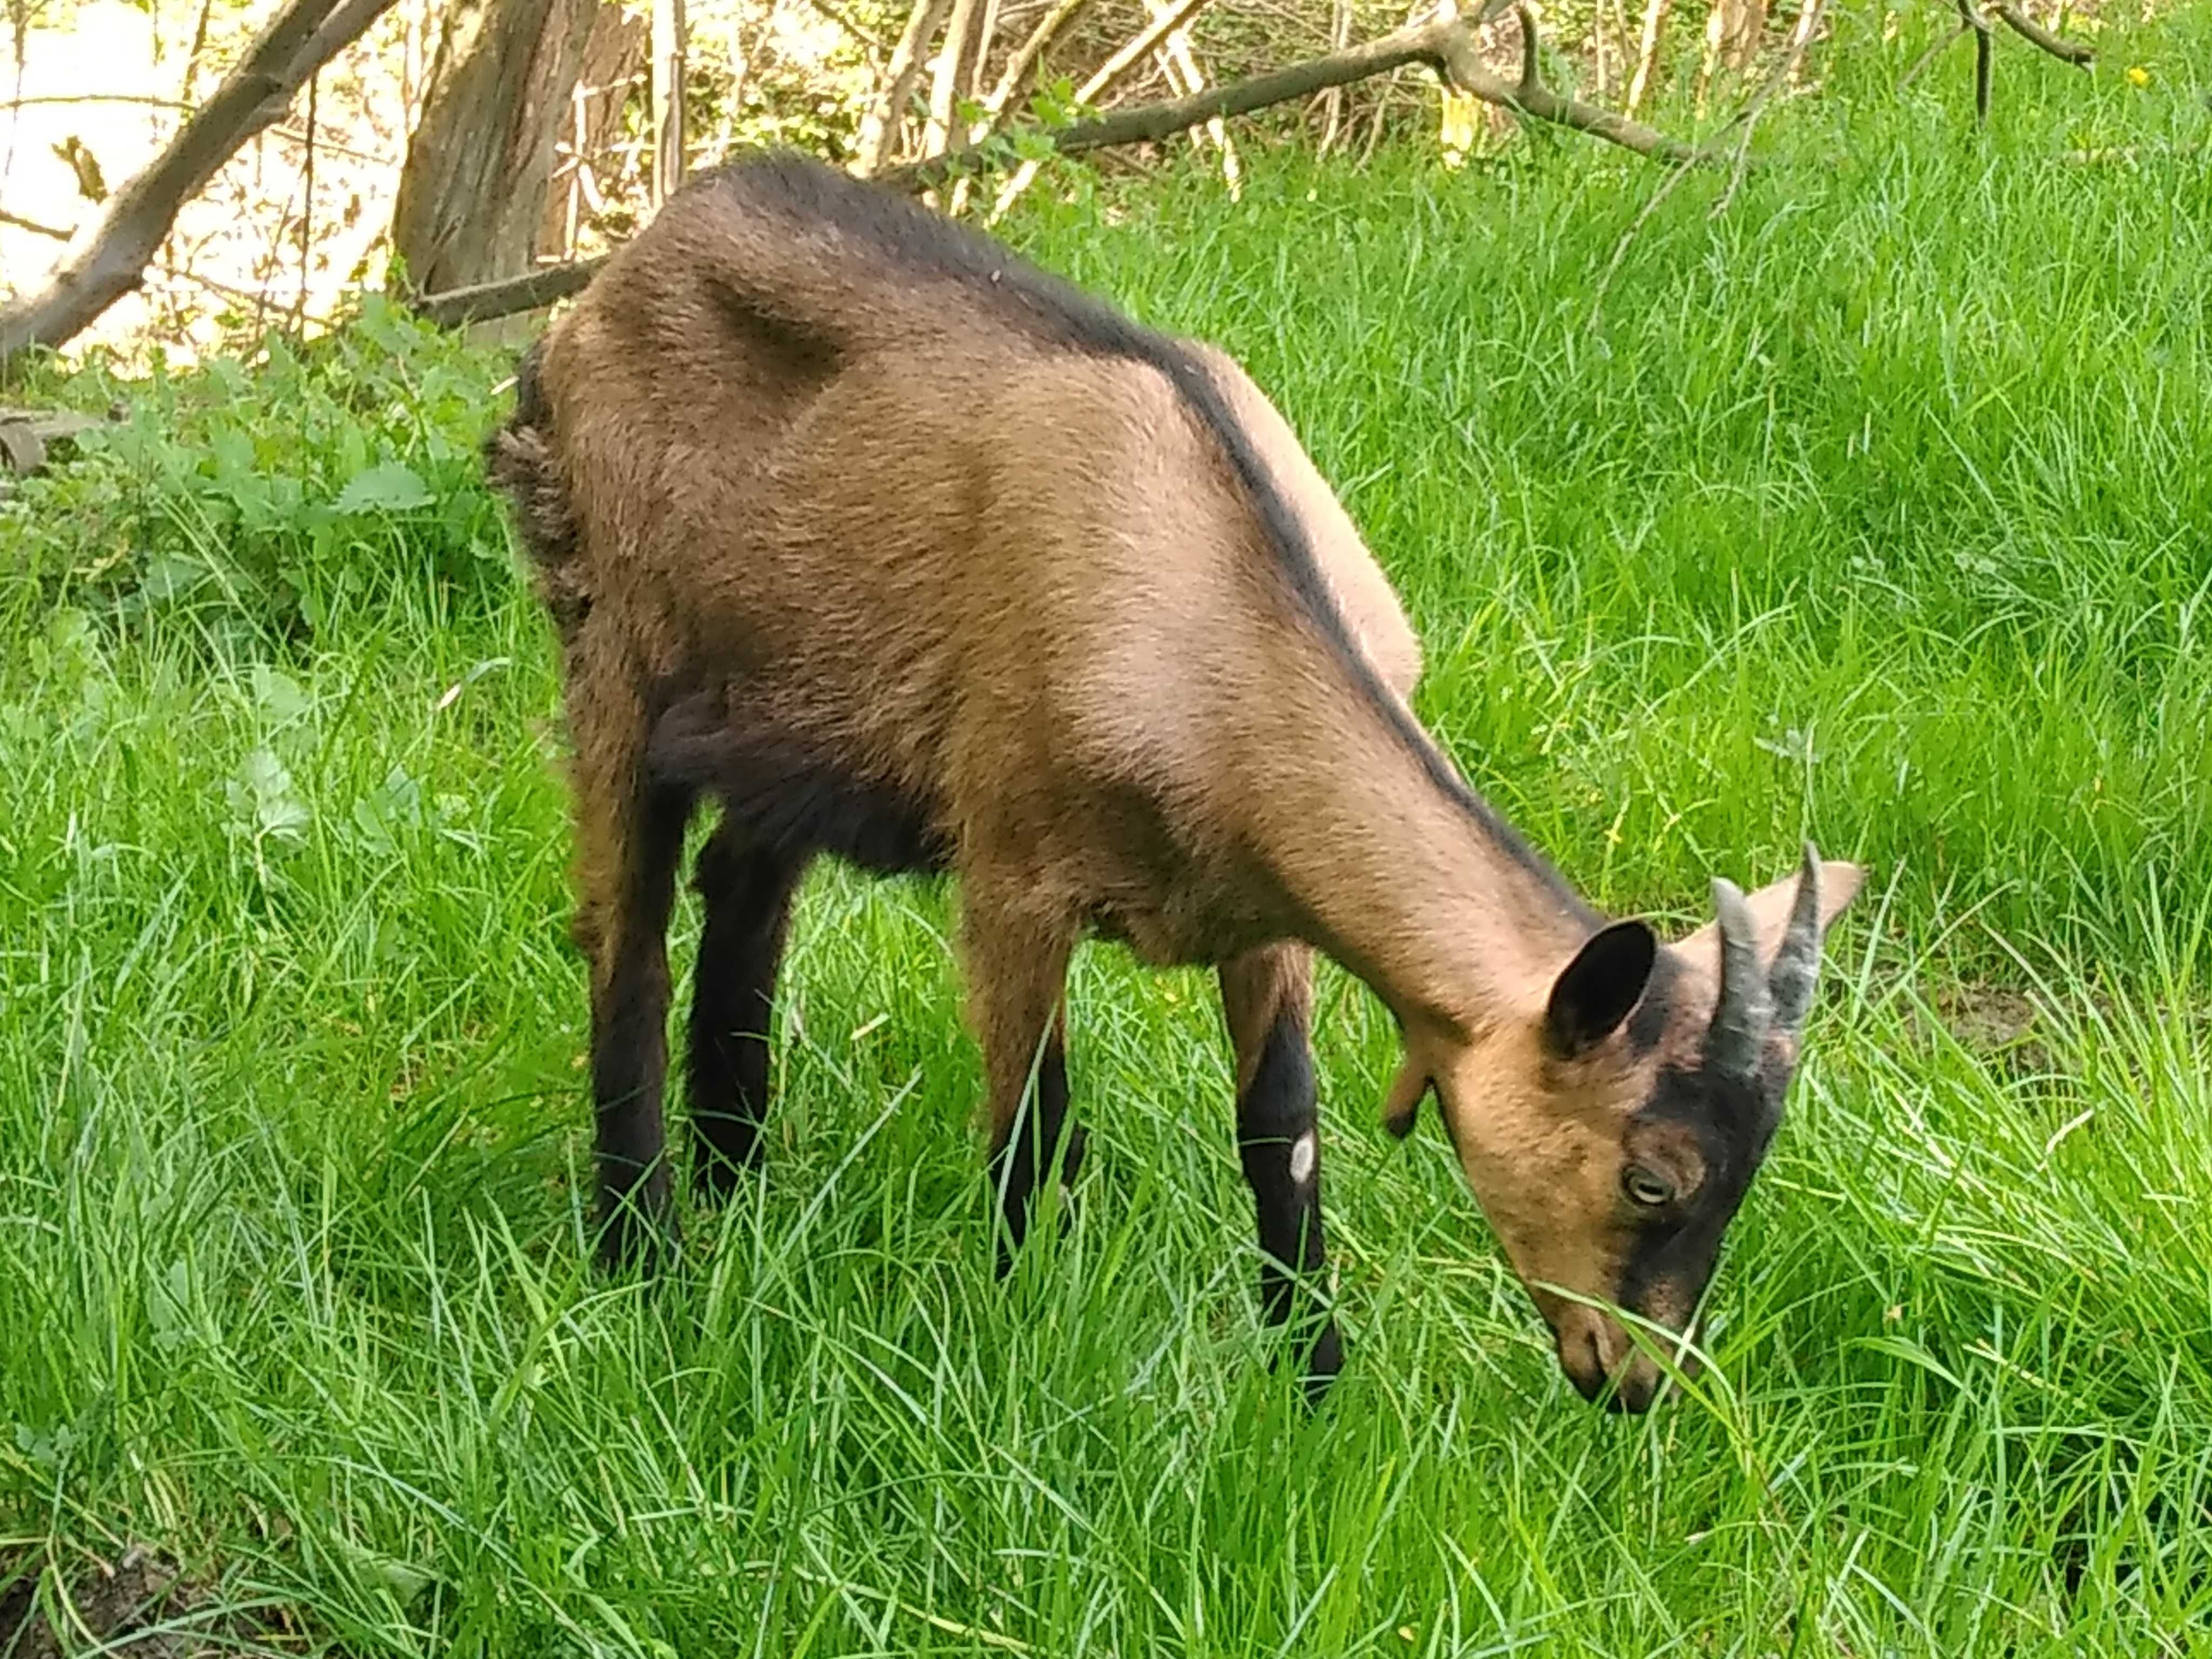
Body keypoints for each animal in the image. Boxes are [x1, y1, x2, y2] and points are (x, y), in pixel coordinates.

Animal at [489, 149, 1867, 1415]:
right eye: (1651, 1177)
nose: (1632, 1380)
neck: (1220, 611)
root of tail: (616, 279)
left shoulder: (1263, 907)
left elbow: (1282, 1128)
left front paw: (1313, 1387)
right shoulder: (1011, 868)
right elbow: (1035, 1127)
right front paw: (1028, 1354)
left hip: (786, 713)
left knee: (743, 889)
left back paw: (739, 1178)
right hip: (613, 644)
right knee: (625, 937)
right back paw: (645, 1252)